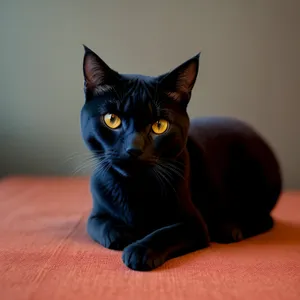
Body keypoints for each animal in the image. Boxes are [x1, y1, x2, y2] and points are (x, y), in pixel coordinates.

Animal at [79, 45, 282, 272]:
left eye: (160, 126)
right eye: (112, 119)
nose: (134, 148)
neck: (133, 188)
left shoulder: (194, 225)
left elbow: (165, 233)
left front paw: (140, 250)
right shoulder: (96, 213)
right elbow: (101, 225)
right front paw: (124, 234)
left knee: (265, 218)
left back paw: (231, 228)